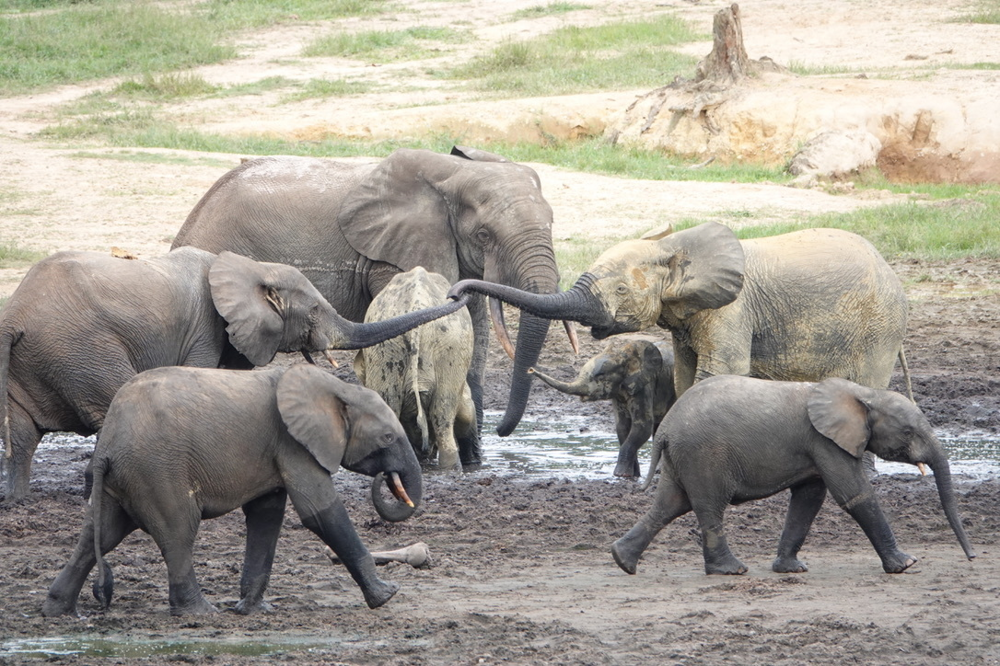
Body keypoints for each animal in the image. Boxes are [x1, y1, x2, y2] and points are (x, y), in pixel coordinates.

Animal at [42, 363, 421, 617]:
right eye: (388, 437)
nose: (388, 478)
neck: (335, 387)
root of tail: (108, 441)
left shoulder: (277, 449)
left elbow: (266, 516)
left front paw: (252, 610)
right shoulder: (294, 444)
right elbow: (318, 511)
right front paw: (387, 595)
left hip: (124, 477)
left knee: (100, 534)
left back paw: (59, 611)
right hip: (157, 470)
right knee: (178, 532)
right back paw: (200, 613)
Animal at [448, 222, 913, 402]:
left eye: (621, 289)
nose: (454, 293)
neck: (672, 246)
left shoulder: (732, 310)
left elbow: (719, 372)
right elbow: (685, 376)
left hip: (879, 326)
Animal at [529, 335, 676, 478]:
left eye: (600, 376)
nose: (530, 370)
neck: (624, 356)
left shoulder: (643, 387)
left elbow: (642, 426)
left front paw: (620, 475)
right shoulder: (619, 394)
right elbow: (622, 427)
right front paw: (633, 475)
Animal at [611, 375, 976, 576]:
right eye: (908, 432)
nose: (972, 557)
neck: (864, 393)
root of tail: (666, 428)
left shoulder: (819, 446)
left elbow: (809, 499)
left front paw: (790, 569)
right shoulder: (825, 441)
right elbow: (854, 494)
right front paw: (906, 565)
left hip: (684, 456)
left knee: (670, 504)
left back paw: (622, 561)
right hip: (703, 454)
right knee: (709, 507)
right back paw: (731, 570)